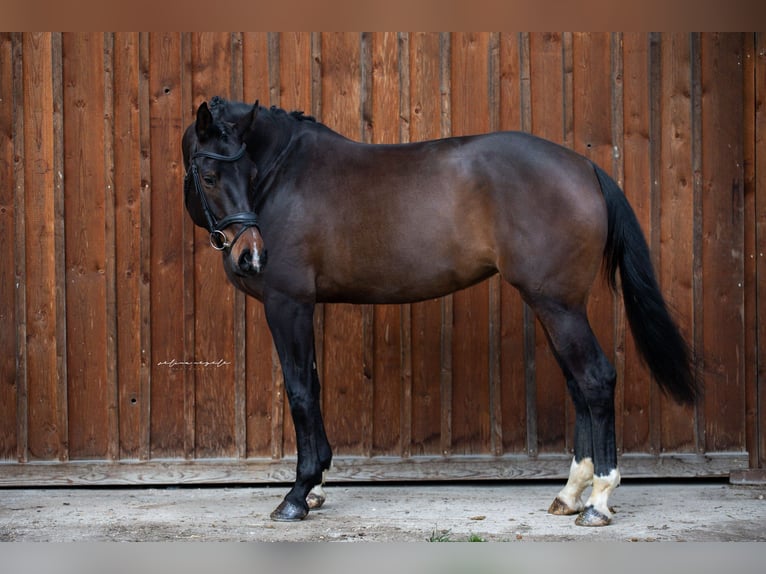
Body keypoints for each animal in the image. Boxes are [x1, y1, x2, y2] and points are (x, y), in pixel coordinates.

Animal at [182, 97, 704, 528]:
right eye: (211, 177)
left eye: (247, 172)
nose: (251, 255)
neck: (284, 176)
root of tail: (586, 167)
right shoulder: (303, 308)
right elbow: (311, 386)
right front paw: (315, 490)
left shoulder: (287, 304)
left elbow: (300, 393)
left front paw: (297, 495)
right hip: (555, 306)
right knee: (579, 385)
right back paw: (570, 494)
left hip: (559, 305)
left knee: (595, 379)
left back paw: (597, 502)